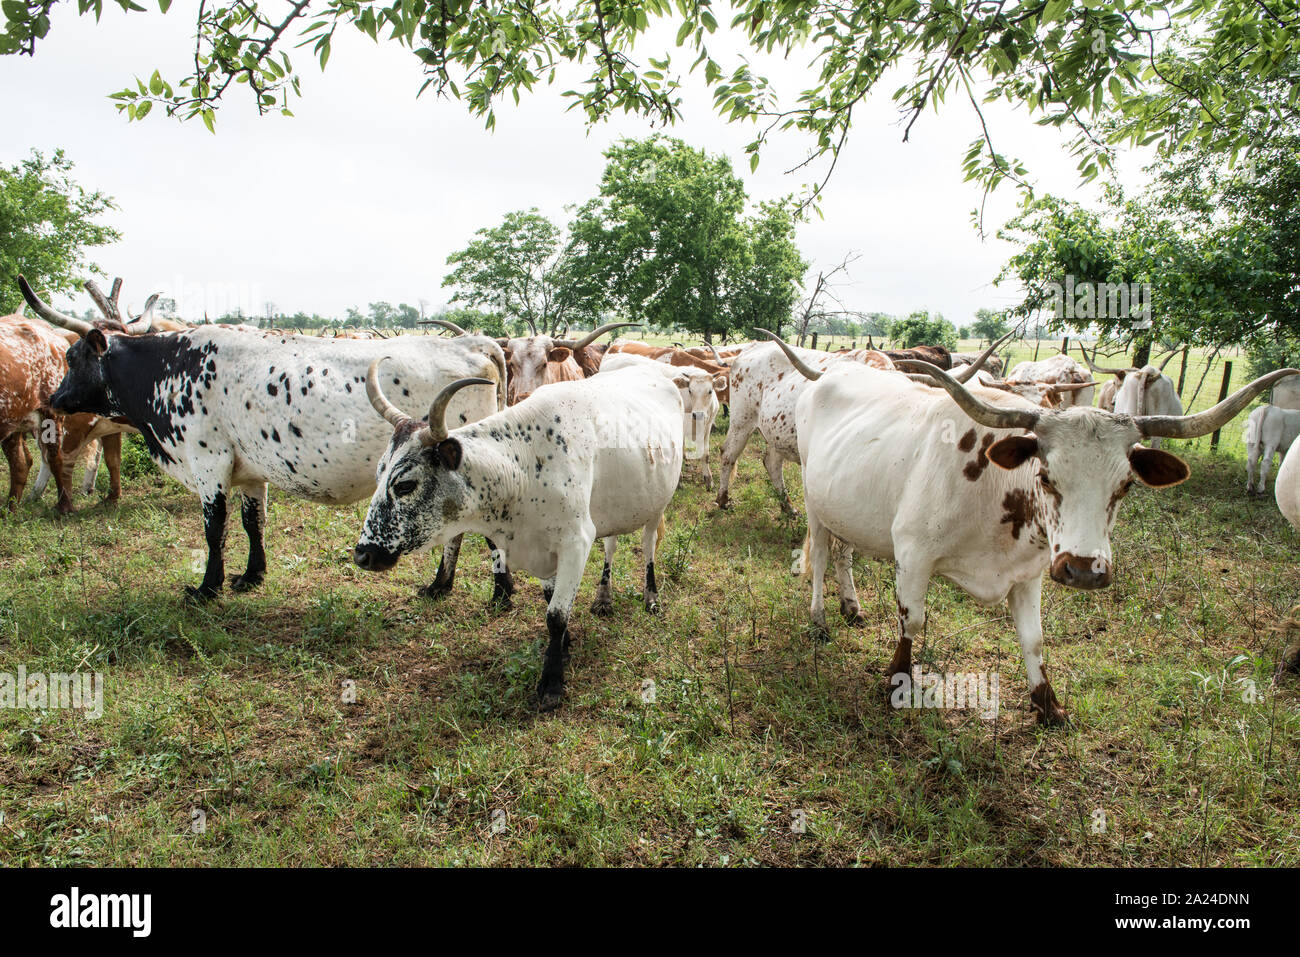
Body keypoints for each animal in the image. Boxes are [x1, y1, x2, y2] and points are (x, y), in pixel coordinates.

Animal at [20, 273, 509, 600]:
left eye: (71, 355)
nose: (54, 397)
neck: (171, 367)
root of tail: (478, 344)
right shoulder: (250, 471)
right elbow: (252, 522)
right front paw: (251, 575)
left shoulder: (208, 462)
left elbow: (214, 527)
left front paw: (208, 587)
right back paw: (441, 585)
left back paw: (497, 594)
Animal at [351, 358, 686, 712]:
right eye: (378, 473)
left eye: (405, 484)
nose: (363, 554)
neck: (524, 466)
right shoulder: (540, 548)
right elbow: (550, 602)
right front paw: (565, 647)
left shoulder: (575, 543)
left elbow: (556, 615)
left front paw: (552, 683)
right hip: (623, 506)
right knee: (611, 543)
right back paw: (603, 597)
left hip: (658, 504)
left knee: (648, 546)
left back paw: (651, 598)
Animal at [764, 330, 1294, 722]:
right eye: (1045, 475)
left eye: (1125, 486)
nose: (1083, 570)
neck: (995, 489)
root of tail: (834, 372)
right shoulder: (913, 555)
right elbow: (911, 620)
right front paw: (897, 683)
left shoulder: (1031, 572)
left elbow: (1034, 639)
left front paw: (1047, 705)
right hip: (815, 501)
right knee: (823, 556)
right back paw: (820, 618)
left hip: (848, 507)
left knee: (845, 553)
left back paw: (851, 606)